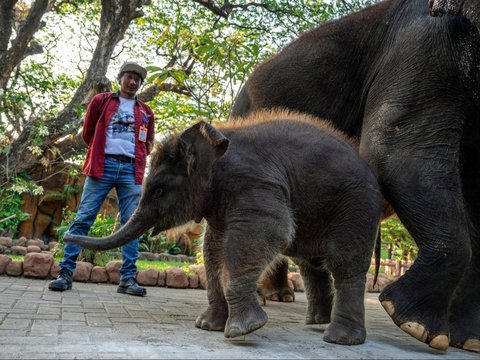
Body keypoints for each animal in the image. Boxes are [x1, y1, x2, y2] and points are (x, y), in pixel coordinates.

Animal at [65, 109, 384, 346]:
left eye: (158, 190)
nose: (68, 232)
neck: (215, 142)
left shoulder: (254, 183)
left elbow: (269, 232)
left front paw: (243, 329)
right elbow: (213, 248)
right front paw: (207, 326)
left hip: (356, 207)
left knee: (344, 263)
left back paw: (339, 339)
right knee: (311, 263)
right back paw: (317, 323)